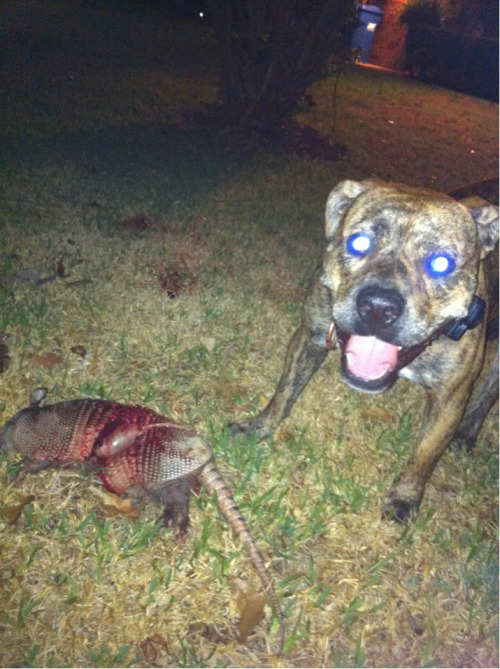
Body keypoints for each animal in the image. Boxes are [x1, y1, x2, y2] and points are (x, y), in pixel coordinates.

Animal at [231, 179, 500, 520]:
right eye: (359, 243)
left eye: (440, 264)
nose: (378, 306)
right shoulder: (309, 337)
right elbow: (284, 391)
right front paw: (260, 426)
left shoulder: (451, 395)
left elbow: (426, 452)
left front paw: (404, 497)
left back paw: (467, 432)